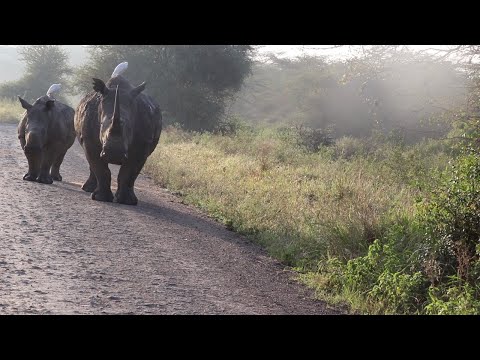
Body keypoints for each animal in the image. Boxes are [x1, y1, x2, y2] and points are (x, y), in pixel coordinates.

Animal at [75, 73, 163, 205]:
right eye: (101, 125)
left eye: (130, 128)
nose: (114, 154)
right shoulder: (89, 139)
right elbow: (100, 168)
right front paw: (100, 198)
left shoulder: (142, 145)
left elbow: (129, 172)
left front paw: (127, 202)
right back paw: (87, 189)